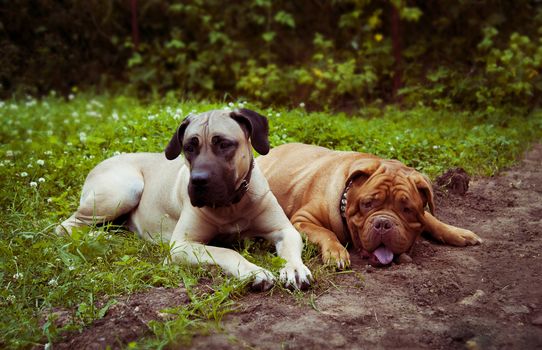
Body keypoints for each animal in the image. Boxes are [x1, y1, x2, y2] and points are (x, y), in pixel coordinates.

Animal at [56, 109, 312, 290]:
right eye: (189, 146)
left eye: (224, 144)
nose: (198, 180)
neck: (231, 206)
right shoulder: (182, 245)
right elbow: (225, 251)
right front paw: (253, 272)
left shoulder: (284, 230)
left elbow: (290, 247)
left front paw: (294, 268)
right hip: (125, 188)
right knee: (65, 226)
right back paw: (100, 237)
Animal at [260, 142, 484, 268]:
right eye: (367, 204)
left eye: (407, 209)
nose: (383, 223)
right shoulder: (302, 220)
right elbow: (326, 233)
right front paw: (336, 253)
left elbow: (431, 219)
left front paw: (458, 233)